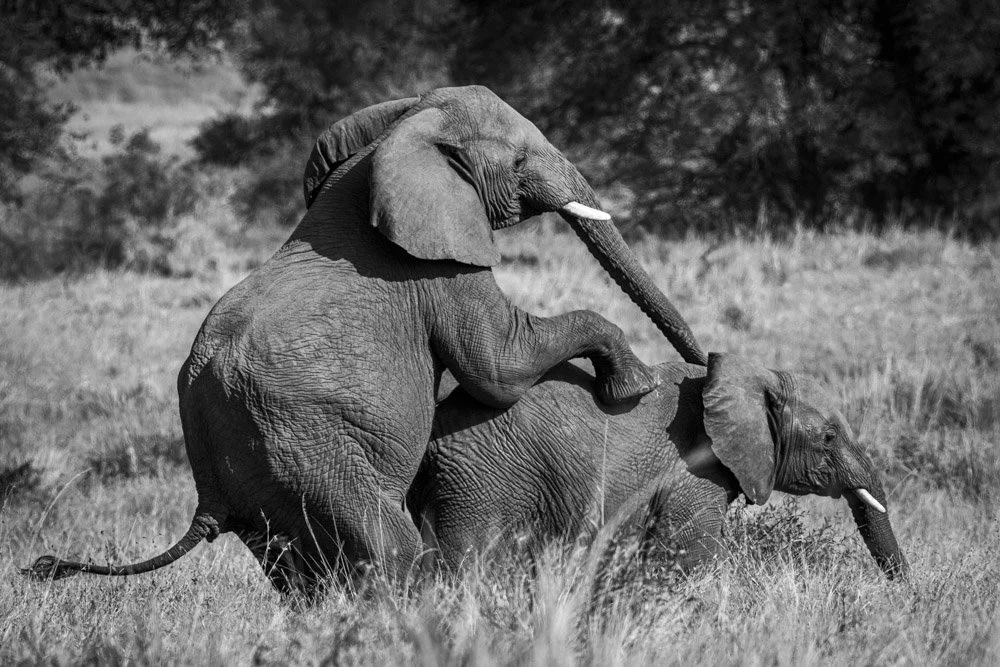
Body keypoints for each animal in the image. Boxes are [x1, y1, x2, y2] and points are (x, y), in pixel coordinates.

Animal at [24, 85, 706, 592]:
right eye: (519, 160)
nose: (701, 366)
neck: (397, 134)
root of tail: (208, 497)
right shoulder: (436, 267)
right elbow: (498, 368)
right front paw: (636, 384)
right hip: (313, 455)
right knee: (391, 553)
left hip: (268, 486)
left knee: (299, 574)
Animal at [409, 354, 908, 580]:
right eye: (829, 438)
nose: (906, 595)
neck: (749, 377)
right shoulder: (694, 473)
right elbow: (691, 556)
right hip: (480, 479)